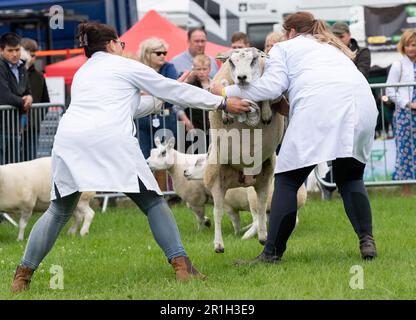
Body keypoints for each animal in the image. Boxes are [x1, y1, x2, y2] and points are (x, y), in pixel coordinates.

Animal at [205, 47, 286, 252]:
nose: (242, 77)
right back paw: (218, 244)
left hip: (266, 175)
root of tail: (243, 178)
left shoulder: (278, 95)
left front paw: (266, 113)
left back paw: (264, 236)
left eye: (254, 59)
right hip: (216, 176)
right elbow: (224, 86)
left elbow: (268, 94)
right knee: (217, 211)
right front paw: (226, 113)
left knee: (262, 205)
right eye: (231, 62)